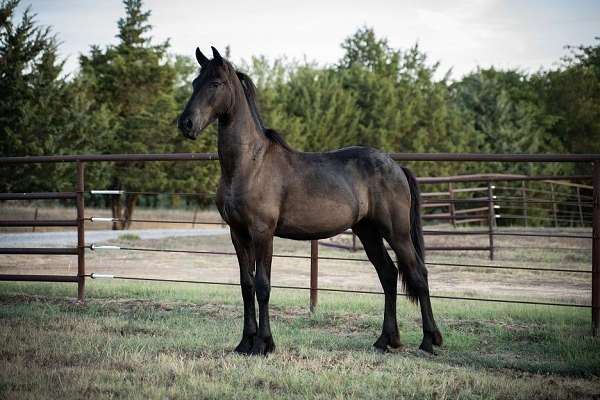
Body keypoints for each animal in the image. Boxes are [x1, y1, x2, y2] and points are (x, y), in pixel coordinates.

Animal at [176, 47, 442, 356]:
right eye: (195, 82)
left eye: (215, 83)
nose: (186, 124)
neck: (250, 164)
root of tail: (397, 166)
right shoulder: (238, 233)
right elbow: (246, 285)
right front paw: (245, 343)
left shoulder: (262, 232)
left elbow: (263, 285)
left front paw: (264, 344)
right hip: (368, 231)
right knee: (388, 275)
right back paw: (386, 340)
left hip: (396, 232)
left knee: (418, 274)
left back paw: (429, 340)